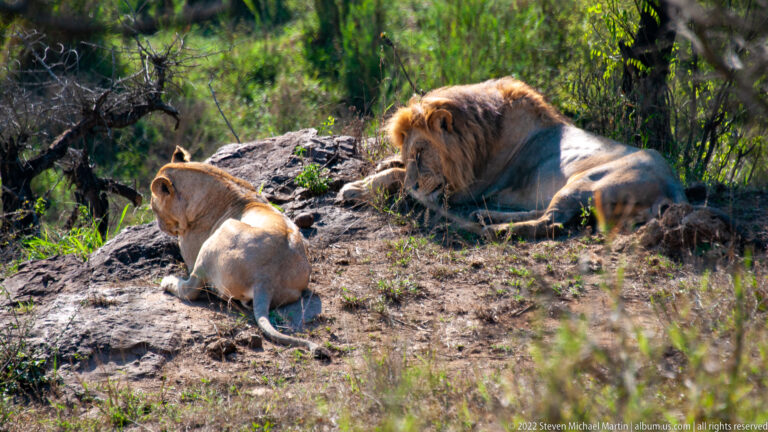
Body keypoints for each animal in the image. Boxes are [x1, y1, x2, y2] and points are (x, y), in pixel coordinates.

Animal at [151, 146, 328, 359]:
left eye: (153, 208)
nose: (160, 226)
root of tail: (265, 279)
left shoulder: (190, 252)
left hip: (220, 234)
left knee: (191, 290)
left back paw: (168, 281)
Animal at [338, 77, 687, 238]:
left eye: (421, 153)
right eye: (408, 151)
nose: (415, 187)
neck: (480, 133)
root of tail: (674, 189)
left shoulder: (469, 187)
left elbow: (397, 177)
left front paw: (356, 188)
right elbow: (394, 168)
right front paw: (382, 165)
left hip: (585, 182)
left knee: (550, 222)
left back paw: (494, 229)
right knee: (545, 212)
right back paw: (488, 216)